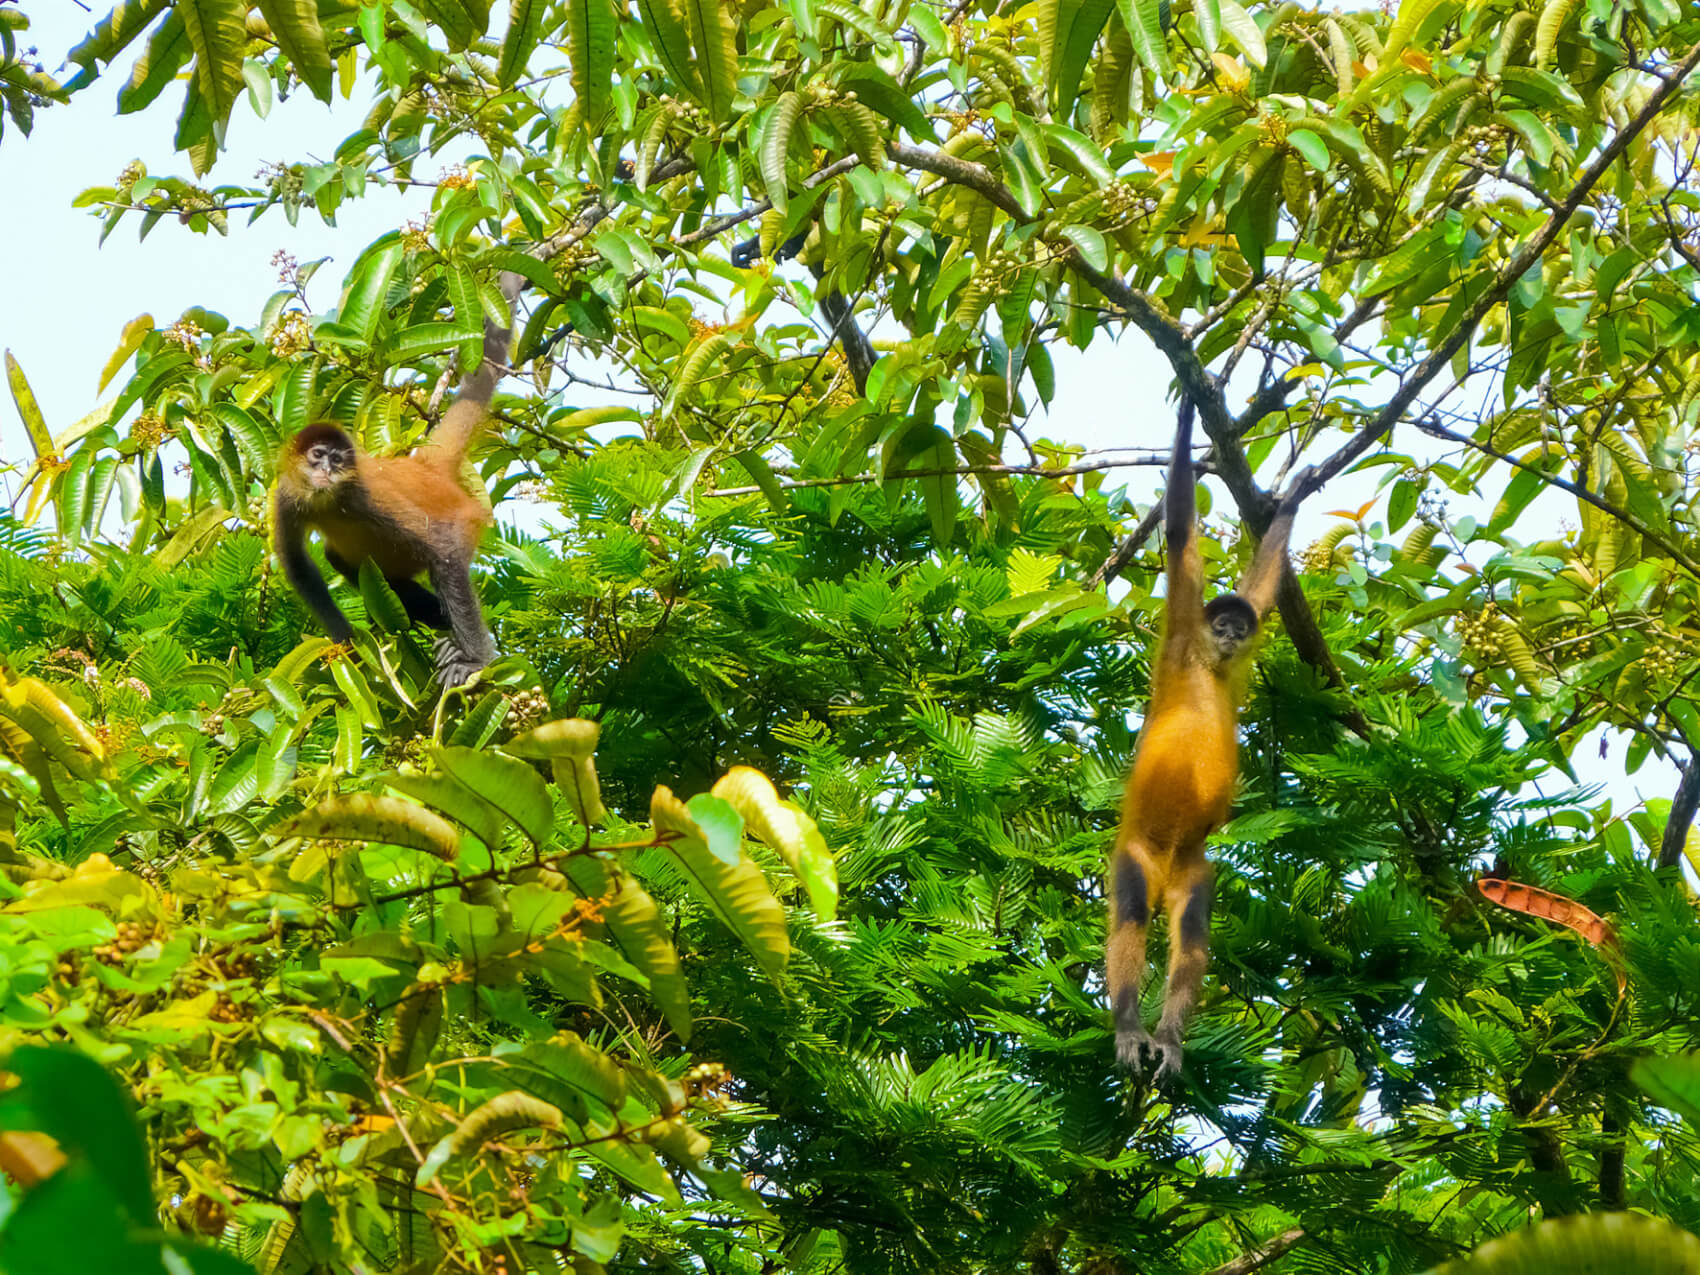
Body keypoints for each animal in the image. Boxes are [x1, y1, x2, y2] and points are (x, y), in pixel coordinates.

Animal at [272, 270, 520, 690]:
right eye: (318, 456)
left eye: (338, 460)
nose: (327, 471)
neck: (326, 500)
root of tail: (427, 469)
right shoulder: (287, 495)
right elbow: (299, 567)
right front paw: (347, 644)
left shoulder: (359, 495)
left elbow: (442, 548)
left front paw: (476, 661)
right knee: (342, 560)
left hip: (466, 518)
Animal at [1108, 397, 1305, 1081]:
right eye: (1219, 625)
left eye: (1238, 629)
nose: (1230, 634)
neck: (1211, 668)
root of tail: (1167, 864)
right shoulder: (1184, 629)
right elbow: (1178, 536)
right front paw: (1191, 406)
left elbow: (1263, 588)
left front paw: (1295, 496)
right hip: (1135, 852)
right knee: (1133, 912)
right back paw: (1130, 1026)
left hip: (1194, 869)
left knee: (1192, 931)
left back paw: (1168, 1035)